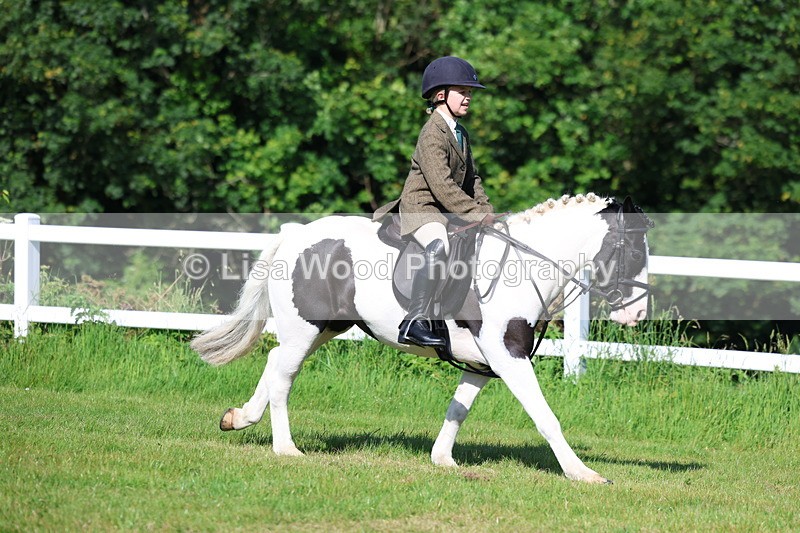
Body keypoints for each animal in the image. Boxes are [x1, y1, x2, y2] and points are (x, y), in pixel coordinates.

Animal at [191, 193, 653, 483]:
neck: (523, 267)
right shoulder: (508, 356)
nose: (637, 315)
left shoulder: (485, 363)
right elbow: (546, 416)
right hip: (305, 327)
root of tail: (296, 233)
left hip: (323, 329)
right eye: (633, 252)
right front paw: (582, 473)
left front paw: (442, 460)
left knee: (276, 366)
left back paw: (239, 418)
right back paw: (286, 449)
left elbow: (459, 409)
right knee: (284, 375)